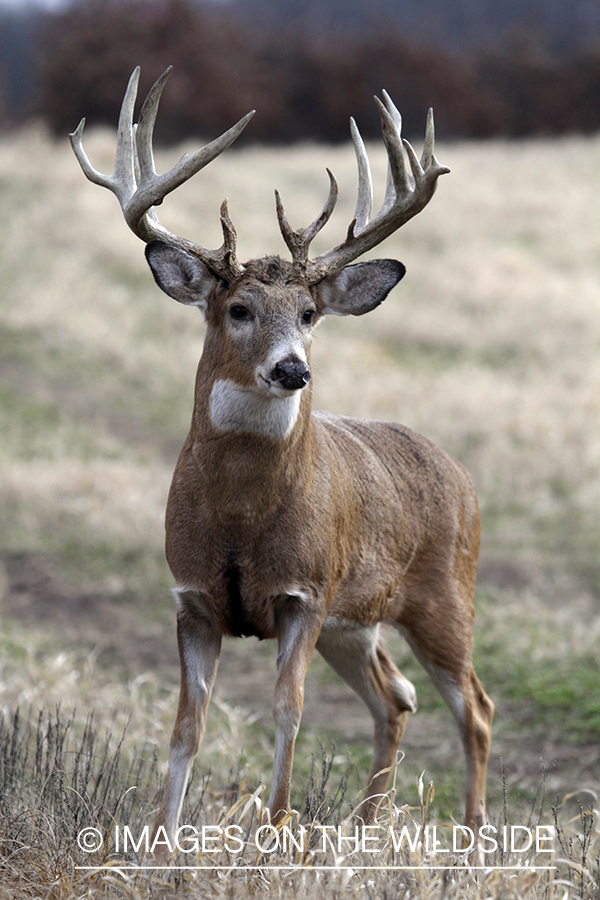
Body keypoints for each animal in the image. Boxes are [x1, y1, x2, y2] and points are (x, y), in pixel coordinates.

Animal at [69, 67, 492, 856]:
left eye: (308, 312)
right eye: (239, 308)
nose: (293, 369)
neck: (239, 515)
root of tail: (460, 473)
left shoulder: (304, 593)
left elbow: (288, 711)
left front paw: (275, 834)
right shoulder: (192, 596)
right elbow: (187, 725)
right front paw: (162, 847)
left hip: (444, 596)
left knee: (473, 707)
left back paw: (475, 843)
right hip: (357, 621)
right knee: (397, 698)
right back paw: (364, 830)